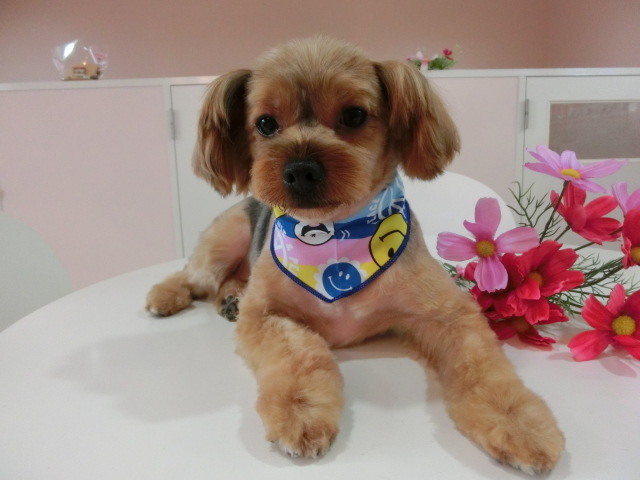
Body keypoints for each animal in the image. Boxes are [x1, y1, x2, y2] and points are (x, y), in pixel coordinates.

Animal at [146, 36, 564, 474]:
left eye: (354, 115)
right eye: (265, 124)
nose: (300, 170)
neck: (335, 236)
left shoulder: (450, 315)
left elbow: (482, 367)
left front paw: (518, 425)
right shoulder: (264, 315)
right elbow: (299, 352)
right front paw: (301, 411)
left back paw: (229, 298)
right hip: (228, 235)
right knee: (197, 276)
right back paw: (169, 295)